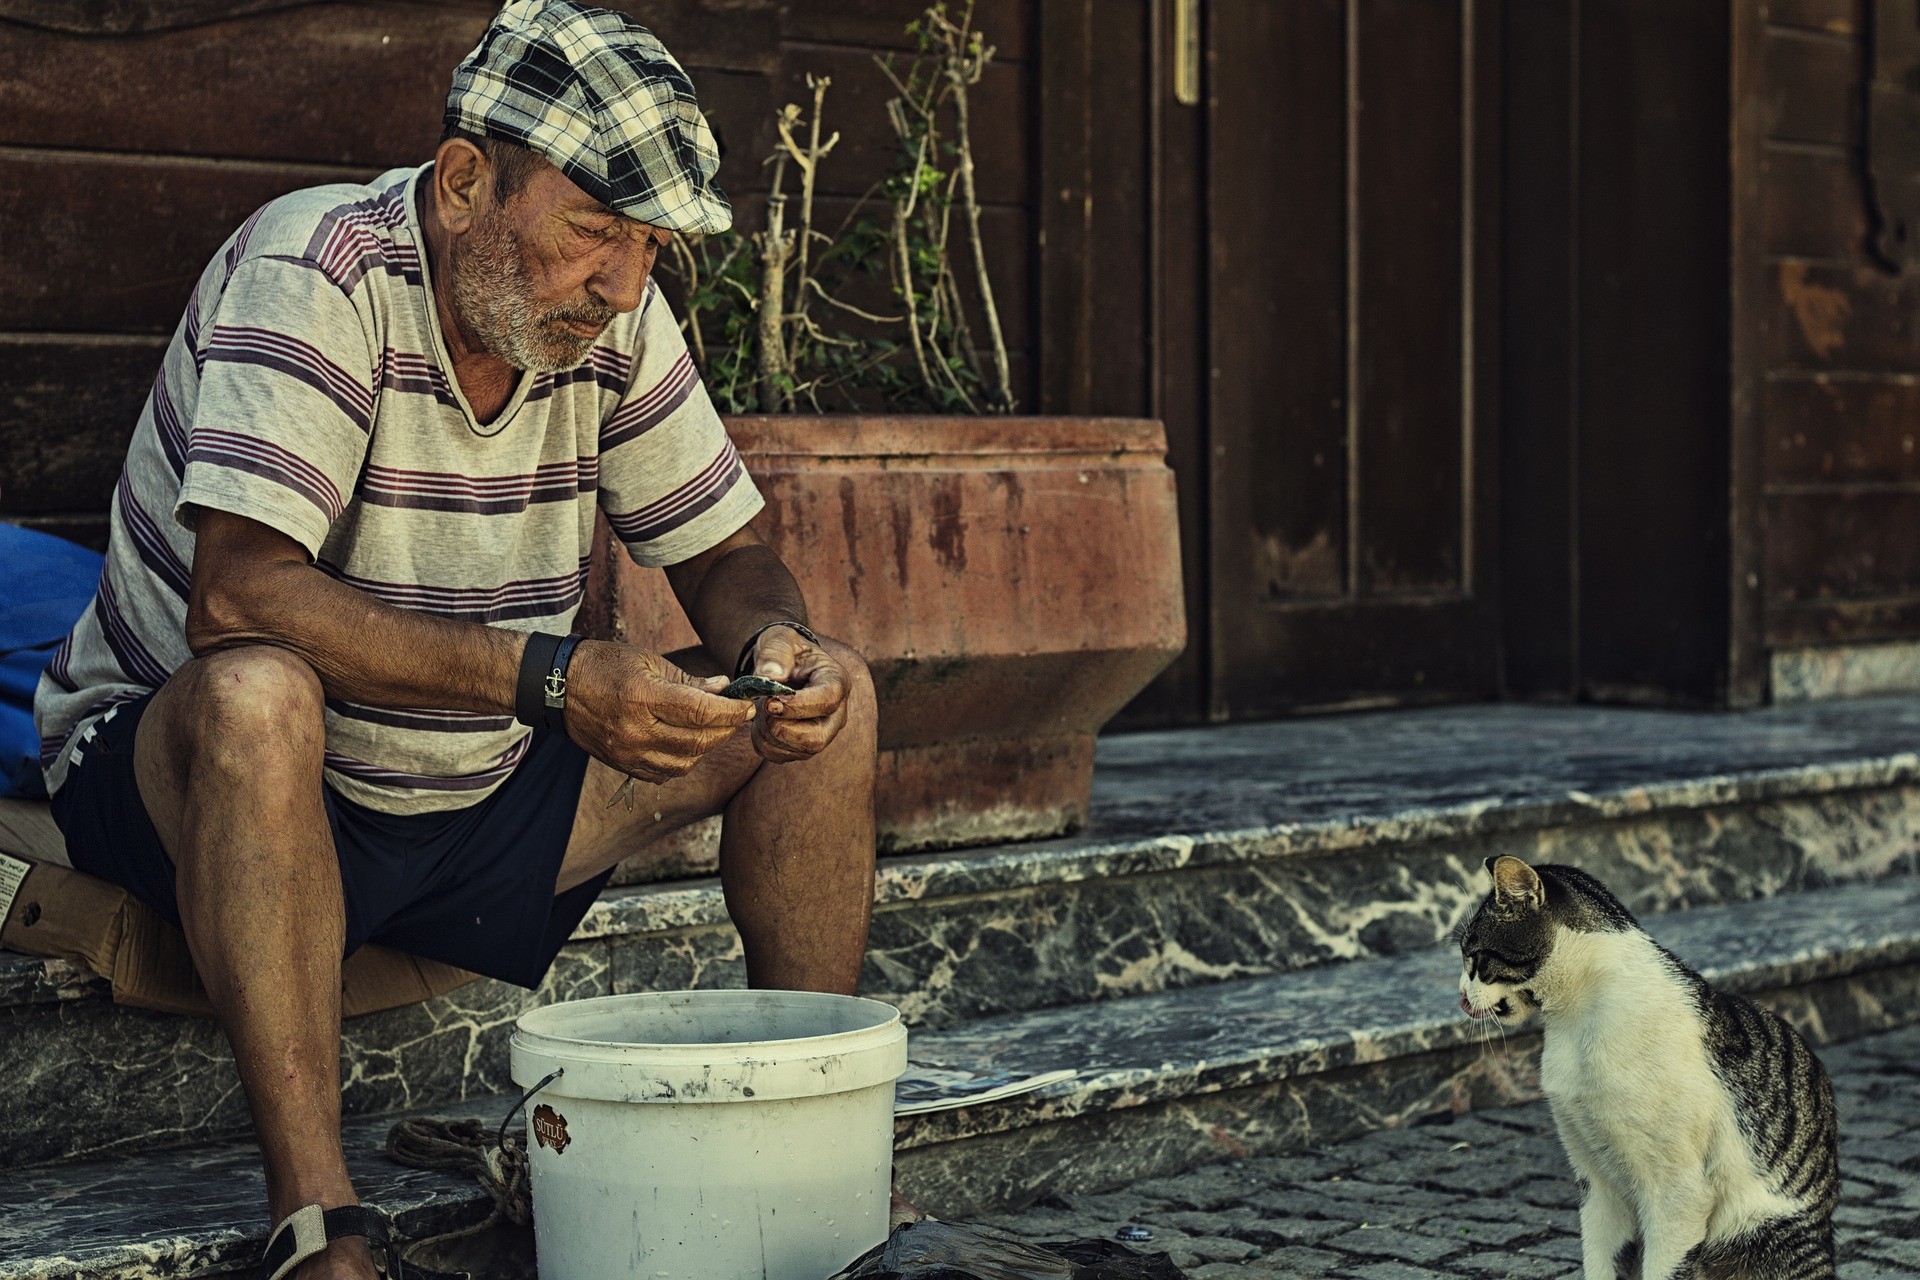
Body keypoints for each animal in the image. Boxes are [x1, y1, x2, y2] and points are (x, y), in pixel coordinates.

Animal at [1459, 855, 1835, 1280]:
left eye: (1475, 957)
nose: (1461, 994)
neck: (1575, 1022)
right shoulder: (1596, 1181)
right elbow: (1601, 1262)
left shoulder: (1677, 1191)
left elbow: (1662, 1267)